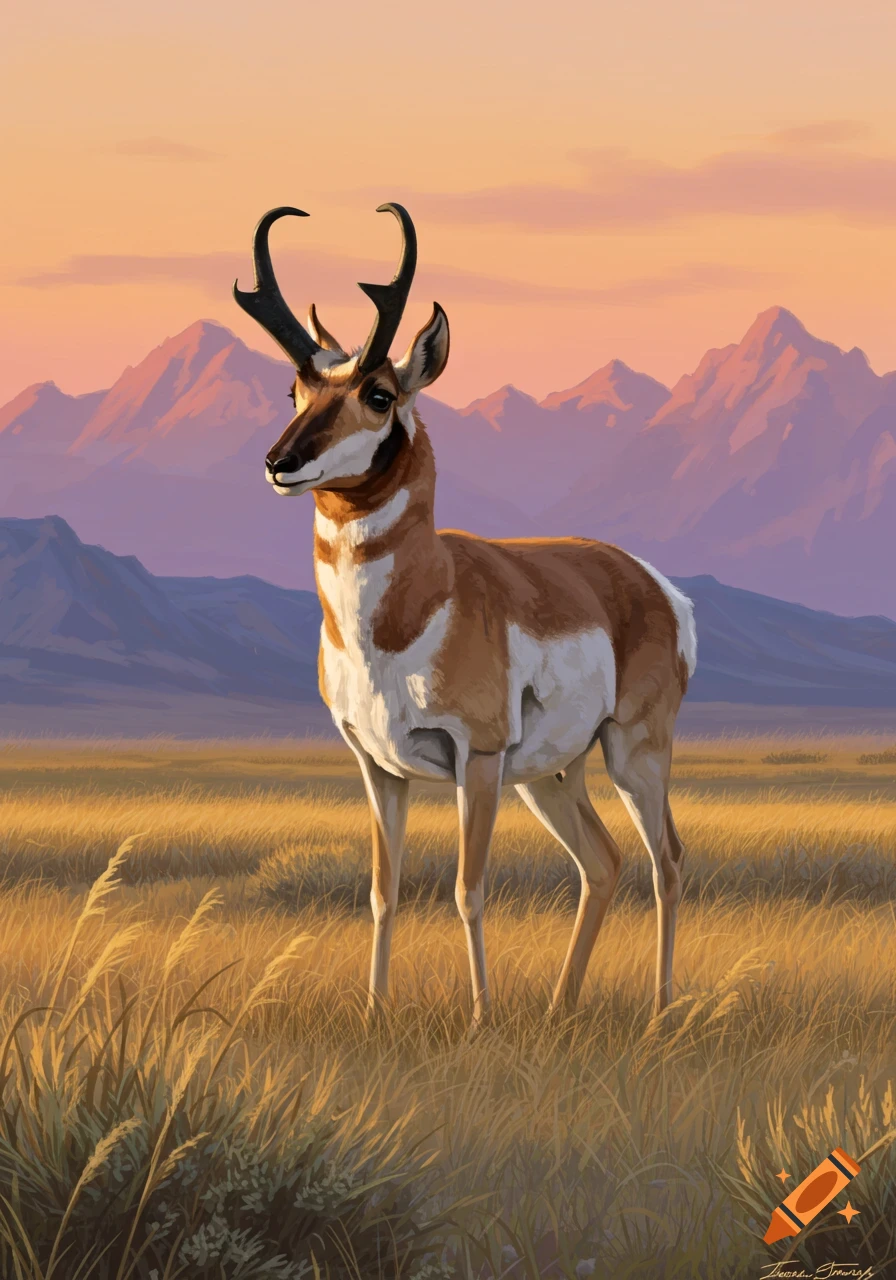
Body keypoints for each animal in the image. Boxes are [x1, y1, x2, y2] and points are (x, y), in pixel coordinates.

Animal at [234, 204, 697, 1031]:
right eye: (294, 391)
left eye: (380, 393)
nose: (280, 462)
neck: (408, 614)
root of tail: (651, 583)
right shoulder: (376, 766)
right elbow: (383, 893)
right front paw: (374, 1013)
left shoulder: (473, 759)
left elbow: (467, 888)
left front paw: (481, 1018)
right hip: (550, 774)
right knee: (603, 861)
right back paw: (559, 1008)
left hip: (631, 752)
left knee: (665, 861)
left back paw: (658, 1009)